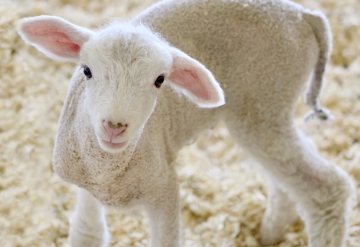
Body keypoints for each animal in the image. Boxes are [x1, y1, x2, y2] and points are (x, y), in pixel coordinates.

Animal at [17, 0, 354, 247]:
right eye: (86, 70)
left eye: (160, 80)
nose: (115, 126)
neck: (109, 173)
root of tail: (304, 15)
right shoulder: (86, 183)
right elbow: (87, 233)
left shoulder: (164, 189)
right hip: (269, 112)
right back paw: (269, 233)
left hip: (265, 103)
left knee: (328, 189)